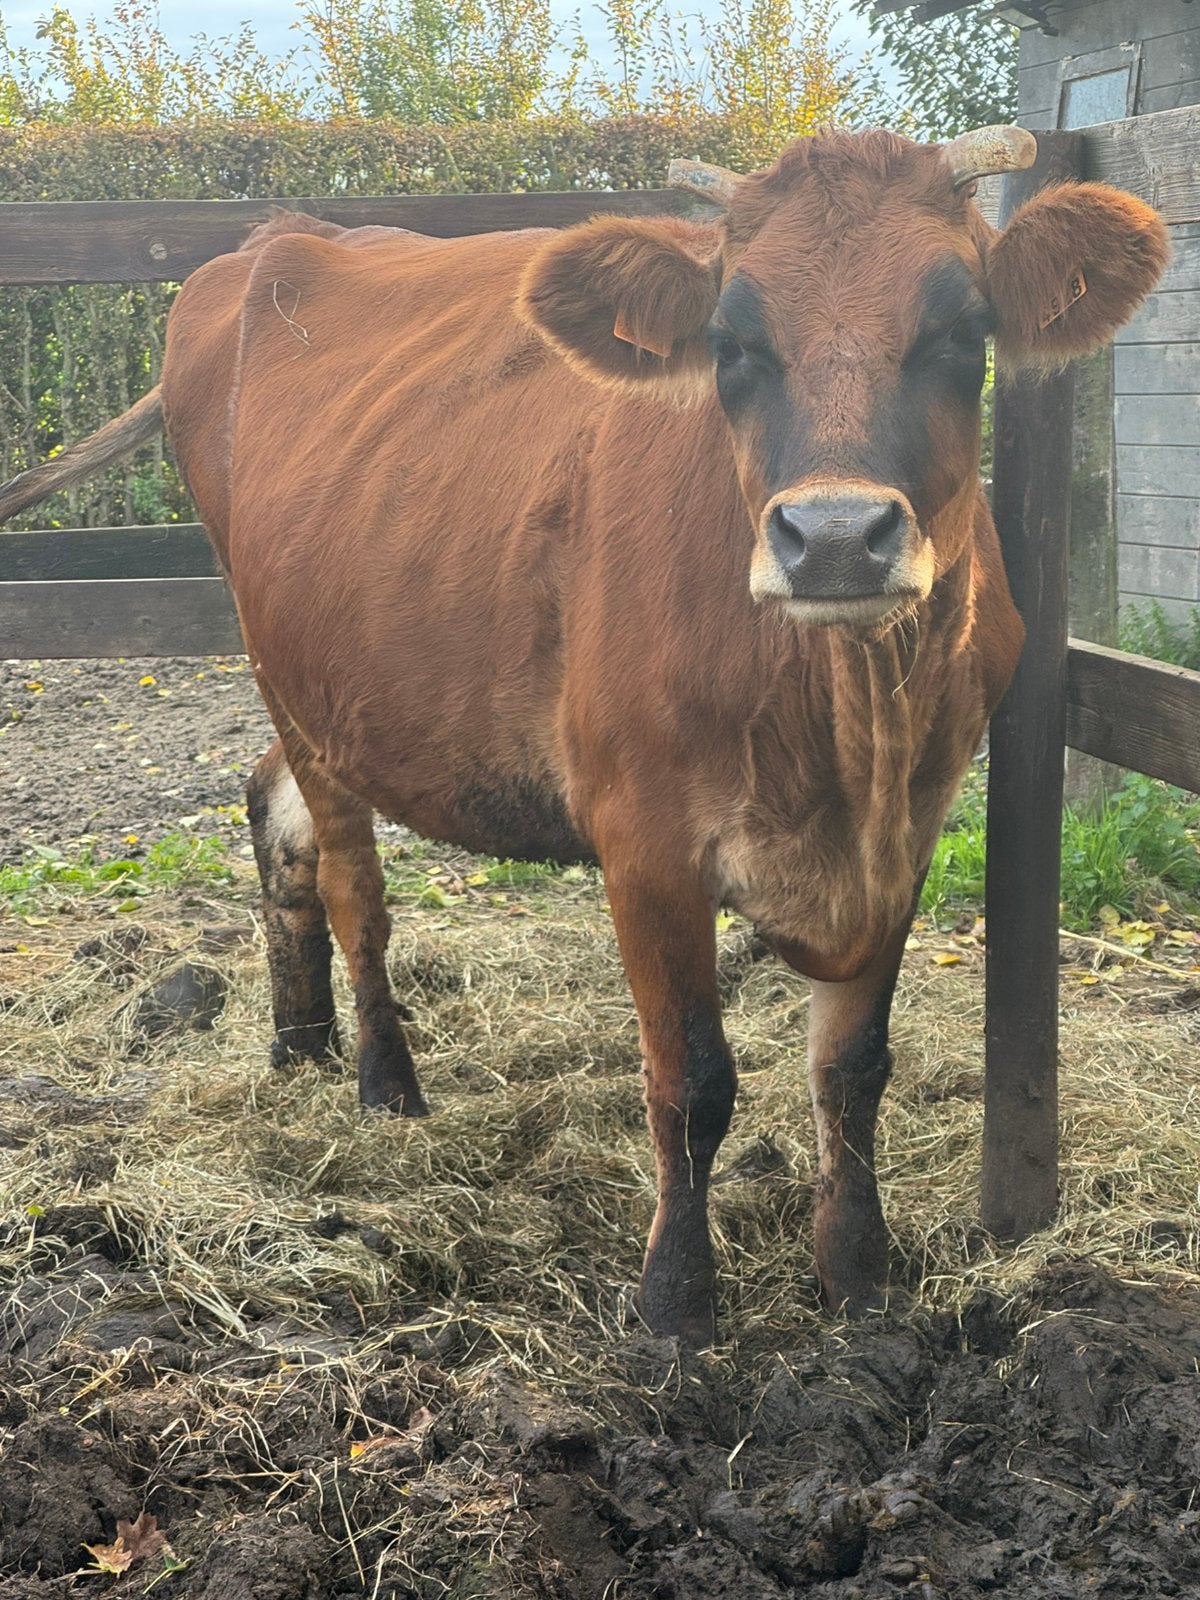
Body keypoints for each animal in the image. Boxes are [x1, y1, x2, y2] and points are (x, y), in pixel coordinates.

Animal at [0, 127, 1166, 1343]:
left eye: (959, 331)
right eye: (731, 341)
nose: (837, 535)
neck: (845, 728)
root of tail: (270, 240)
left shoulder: (914, 826)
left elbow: (852, 1068)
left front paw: (860, 1280)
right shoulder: (644, 841)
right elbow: (692, 1081)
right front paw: (677, 1305)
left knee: (271, 808)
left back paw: (298, 1042)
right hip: (291, 673)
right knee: (349, 880)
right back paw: (383, 1083)